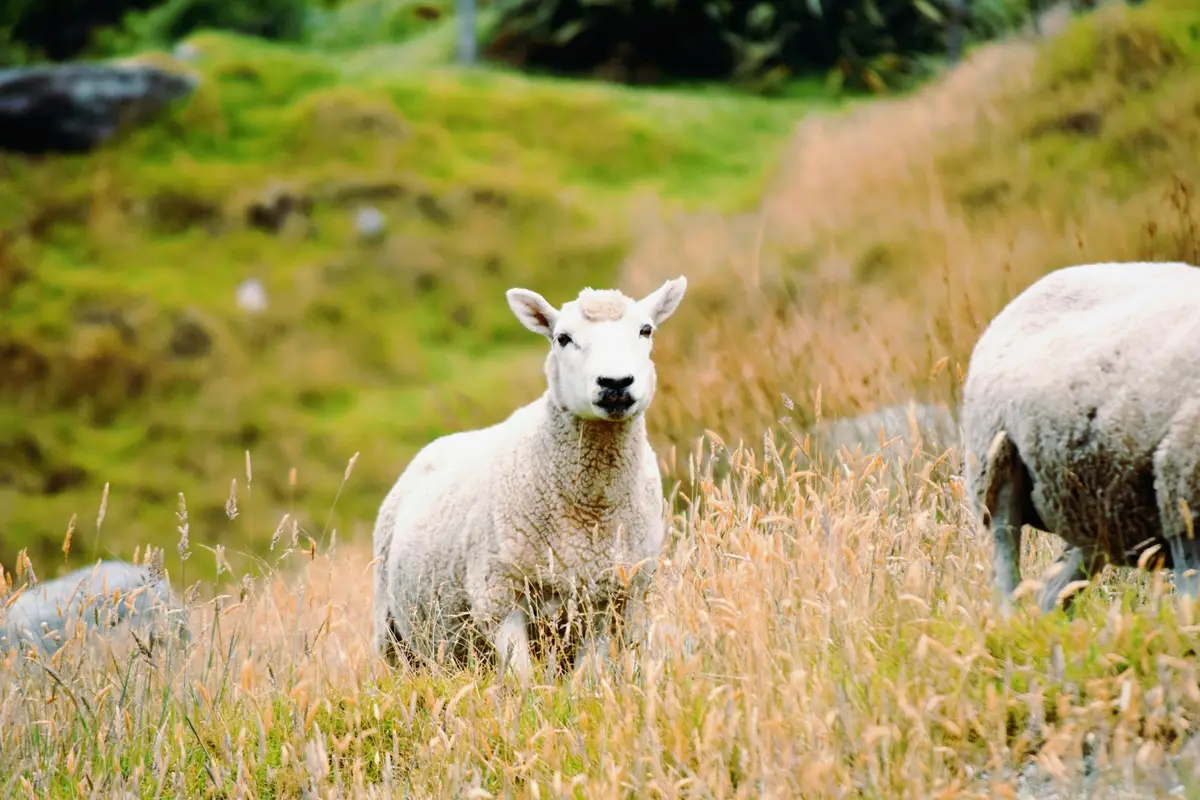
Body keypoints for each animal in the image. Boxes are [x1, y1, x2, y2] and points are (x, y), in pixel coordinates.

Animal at [373, 276, 688, 684]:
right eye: (563, 338)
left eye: (645, 330)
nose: (615, 382)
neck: (590, 510)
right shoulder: (499, 597)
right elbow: (522, 680)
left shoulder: (609, 601)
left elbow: (585, 678)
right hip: (392, 630)